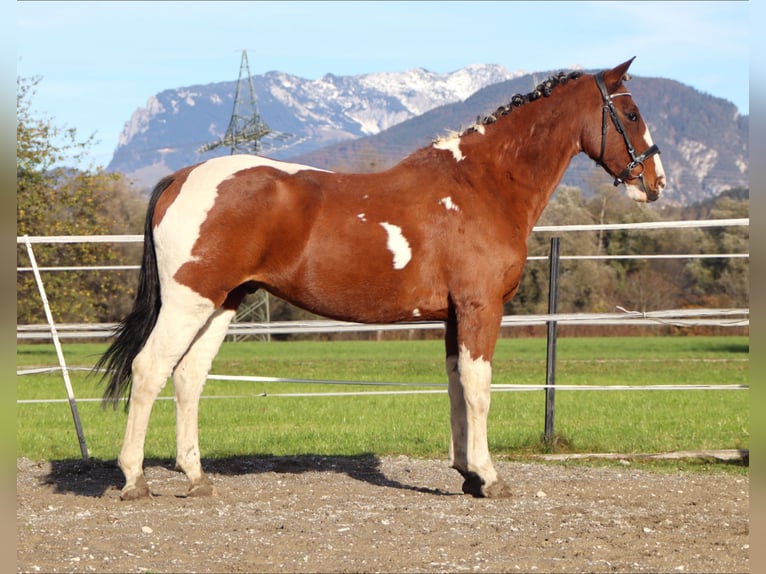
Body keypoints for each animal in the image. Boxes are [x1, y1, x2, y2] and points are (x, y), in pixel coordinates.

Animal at [97, 58, 665, 500]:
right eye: (631, 114)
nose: (656, 182)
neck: (481, 185)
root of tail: (181, 177)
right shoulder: (481, 307)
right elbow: (479, 388)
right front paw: (490, 477)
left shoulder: (453, 316)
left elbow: (457, 387)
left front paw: (466, 475)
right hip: (188, 303)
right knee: (150, 370)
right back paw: (134, 480)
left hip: (223, 303)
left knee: (188, 378)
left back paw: (196, 478)